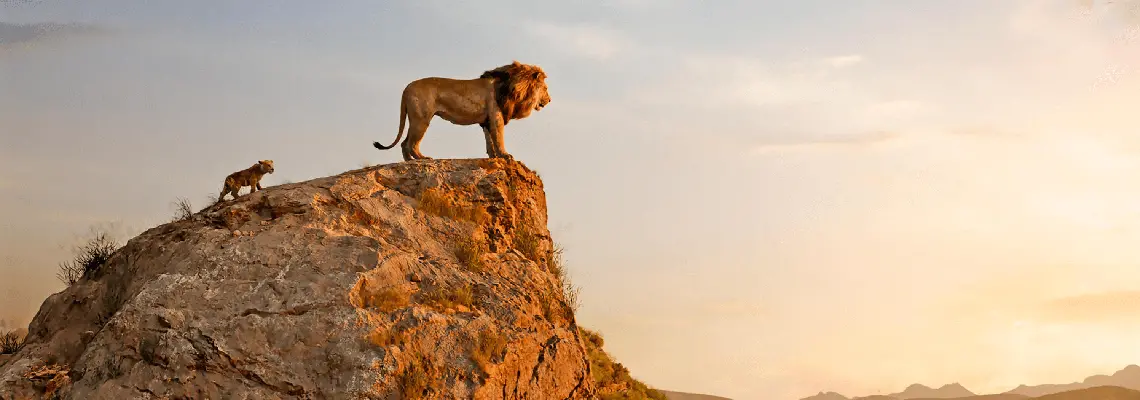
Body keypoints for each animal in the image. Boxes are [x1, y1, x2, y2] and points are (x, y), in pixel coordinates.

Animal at [372, 60, 552, 161]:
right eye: (545, 88)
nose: (550, 100)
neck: (511, 86)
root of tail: (406, 88)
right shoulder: (496, 116)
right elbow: (498, 138)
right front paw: (505, 155)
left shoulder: (486, 120)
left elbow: (489, 141)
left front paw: (493, 156)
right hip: (422, 119)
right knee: (411, 144)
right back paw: (423, 158)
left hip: (414, 118)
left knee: (404, 143)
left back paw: (410, 162)